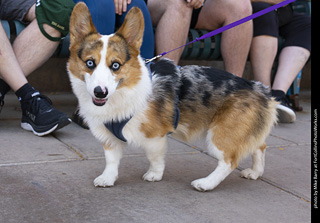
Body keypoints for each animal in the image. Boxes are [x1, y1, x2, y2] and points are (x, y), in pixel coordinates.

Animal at [67, 3, 278, 192]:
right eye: (90, 63)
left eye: (116, 65)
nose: (100, 92)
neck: (123, 93)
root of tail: (259, 88)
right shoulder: (109, 138)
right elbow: (111, 161)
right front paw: (108, 179)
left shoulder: (154, 137)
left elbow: (154, 157)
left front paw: (154, 175)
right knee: (260, 145)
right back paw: (255, 172)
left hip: (221, 133)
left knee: (229, 161)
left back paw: (206, 183)